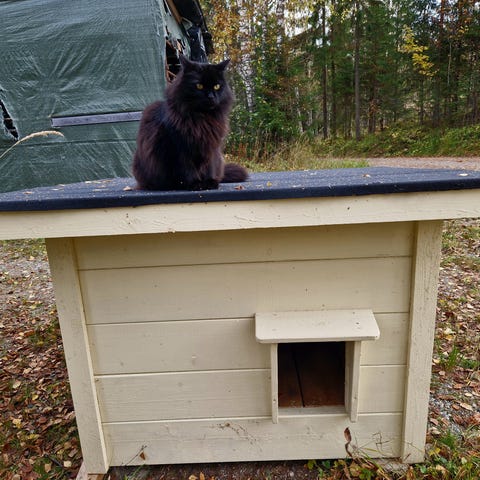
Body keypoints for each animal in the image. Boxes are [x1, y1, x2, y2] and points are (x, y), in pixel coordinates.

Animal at [132, 55, 248, 191]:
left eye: (216, 86)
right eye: (199, 86)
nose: (211, 96)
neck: (201, 119)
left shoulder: (211, 147)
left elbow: (209, 167)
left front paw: (209, 183)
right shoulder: (179, 148)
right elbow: (188, 170)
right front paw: (195, 184)